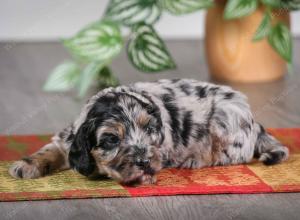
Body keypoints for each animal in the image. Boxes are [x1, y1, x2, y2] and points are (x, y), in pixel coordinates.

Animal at [9, 78, 290, 185]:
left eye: (149, 128)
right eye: (111, 139)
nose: (144, 162)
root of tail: (254, 120)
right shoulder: (66, 139)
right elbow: (50, 150)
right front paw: (26, 165)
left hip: (225, 120)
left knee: (228, 155)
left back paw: (195, 159)